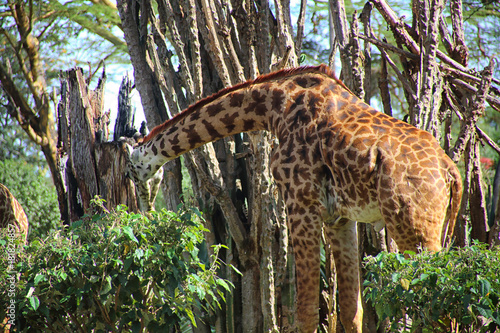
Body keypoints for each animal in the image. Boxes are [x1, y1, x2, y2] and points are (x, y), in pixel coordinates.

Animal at [124, 65, 460, 332]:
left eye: (130, 170)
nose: (141, 209)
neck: (274, 107)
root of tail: (450, 170)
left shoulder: (300, 203)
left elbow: (306, 311)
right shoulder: (339, 217)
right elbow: (351, 311)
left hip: (413, 227)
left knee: (440, 307)